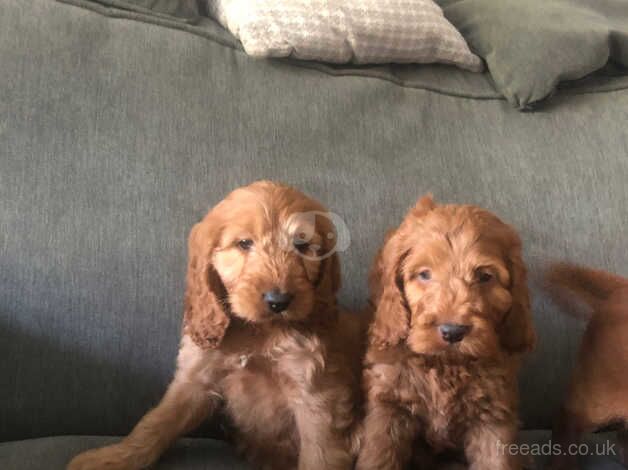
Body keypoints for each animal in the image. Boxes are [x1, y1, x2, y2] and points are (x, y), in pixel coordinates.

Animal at [67, 181, 364, 470]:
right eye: (244, 243)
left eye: (302, 245)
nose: (278, 301)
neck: (257, 332)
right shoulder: (196, 378)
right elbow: (156, 423)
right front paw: (111, 457)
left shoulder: (315, 396)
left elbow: (318, 455)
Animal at [356, 195, 536, 470]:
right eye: (424, 274)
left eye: (485, 276)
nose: (453, 331)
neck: (446, 364)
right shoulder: (388, 407)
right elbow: (379, 456)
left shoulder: (493, 417)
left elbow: (496, 460)